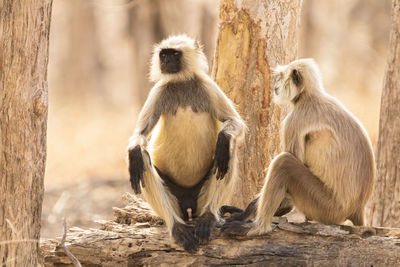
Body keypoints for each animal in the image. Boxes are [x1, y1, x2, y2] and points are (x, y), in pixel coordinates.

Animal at [128, 35, 245, 251]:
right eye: (163, 54)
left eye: (174, 54)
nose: (166, 61)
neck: (181, 83)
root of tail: (189, 204)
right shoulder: (159, 92)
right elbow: (139, 135)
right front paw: (133, 152)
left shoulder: (207, 86)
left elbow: (235, 124)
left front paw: (224, 137)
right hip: (177, 200)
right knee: (142, 159)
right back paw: (177, 226)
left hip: (201, 197)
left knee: (227, 151)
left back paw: (208, 216)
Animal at [222, 58, 376, 237]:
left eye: (280, 77)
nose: (275, 86)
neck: (308, 97)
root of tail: (357, 207)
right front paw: (242, 213)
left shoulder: (294, 120)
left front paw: (245, 215)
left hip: (326, 207)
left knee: (284, 162)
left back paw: (258, 228)